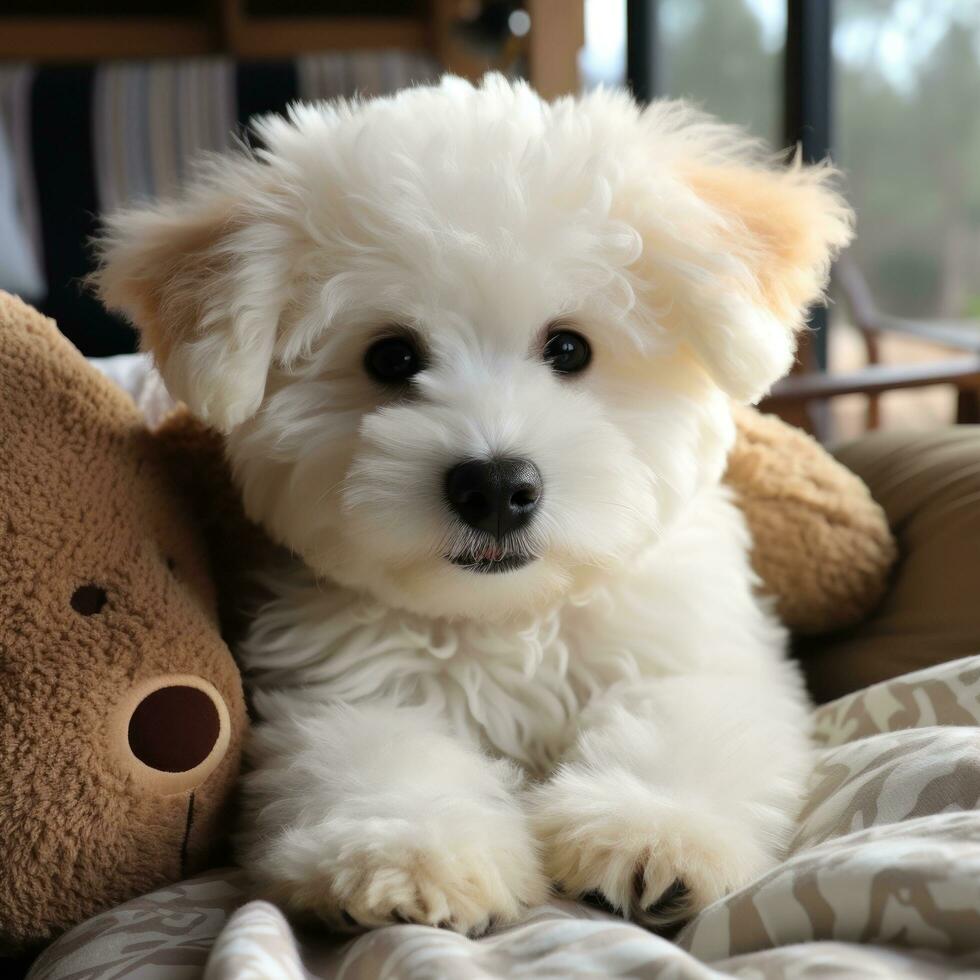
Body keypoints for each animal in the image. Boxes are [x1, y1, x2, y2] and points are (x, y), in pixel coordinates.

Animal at [95, 74, 852, 936]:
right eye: (391, 357)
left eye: (569, 349)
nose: (494, 487)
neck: (509, 618)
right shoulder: (342, 687)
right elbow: (382, 750)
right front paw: (409, 853)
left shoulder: (692, 645)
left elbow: (681, 715)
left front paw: (654, 828)